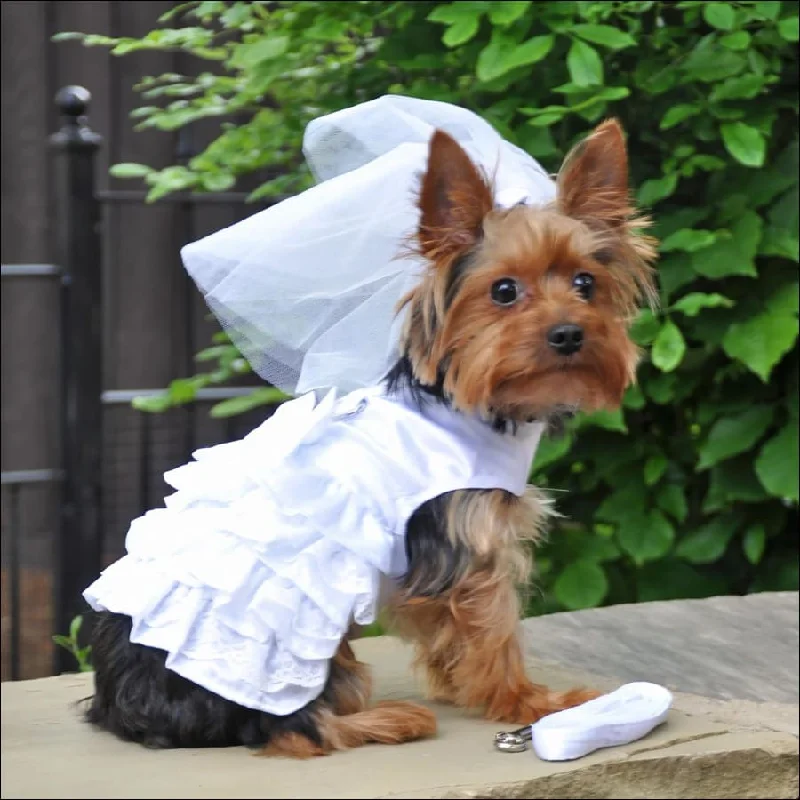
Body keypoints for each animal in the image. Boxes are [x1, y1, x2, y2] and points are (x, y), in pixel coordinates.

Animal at [86, 115, 656, 752]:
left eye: (586, 284)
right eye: (504, 291)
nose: (569, 334)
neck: (464, 404)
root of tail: (126, 704)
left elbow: (442, 628)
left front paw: (457, 684)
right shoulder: (469, 541)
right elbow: (494, 627)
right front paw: (526, 702)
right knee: (296, 727)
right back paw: (389, 719)